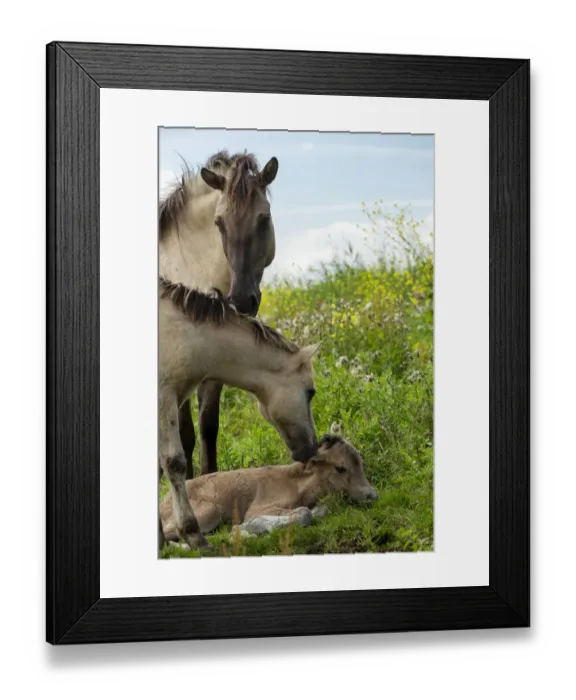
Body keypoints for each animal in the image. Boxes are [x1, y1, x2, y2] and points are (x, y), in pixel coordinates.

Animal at [158, 278, 320, 551]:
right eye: (310, 392)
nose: (311, 448)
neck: (180, 333)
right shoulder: (164, 397)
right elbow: (174, 463)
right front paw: (193, 535)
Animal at [159, 150, 278, 479]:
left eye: (264, 218)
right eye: (219, 222)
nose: (242, 299)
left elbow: (208, 425)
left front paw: (209, 477)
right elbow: (185, 432)